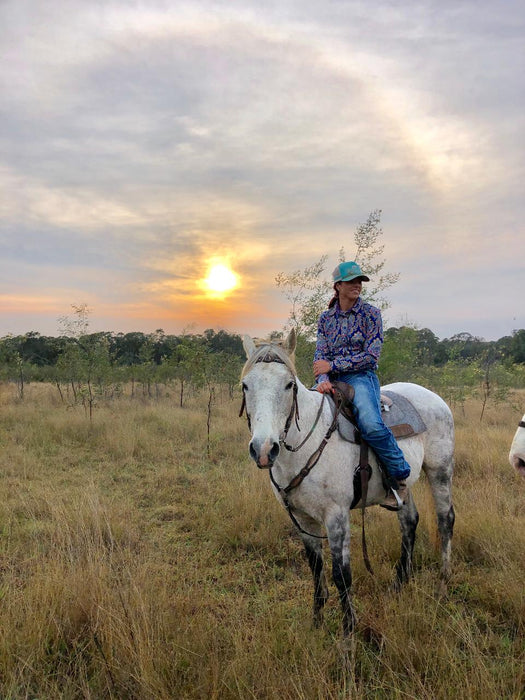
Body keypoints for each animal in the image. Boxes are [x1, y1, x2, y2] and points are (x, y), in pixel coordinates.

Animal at [239, 330, 452, 636]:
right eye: (245, 385)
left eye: (288, 385)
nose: (264, 449)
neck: (308, 443)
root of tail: (434, 397)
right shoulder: (302, 519)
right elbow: (316, 568)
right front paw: (316, 622)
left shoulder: (336, 516)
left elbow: (342, 575)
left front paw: (348, 629)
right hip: (404, 485)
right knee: (409, 521)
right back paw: (400, 583)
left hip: (440, 470)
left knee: (445, 520)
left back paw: (443, 584)